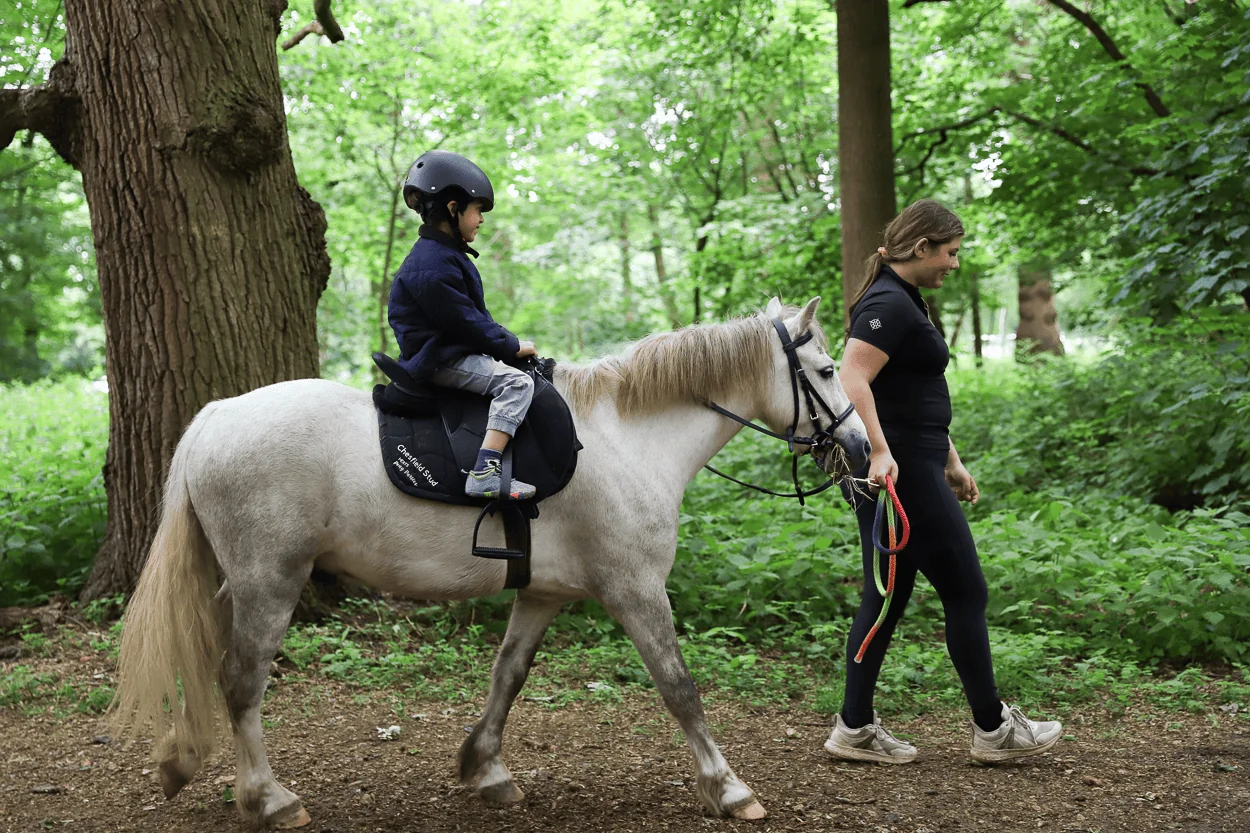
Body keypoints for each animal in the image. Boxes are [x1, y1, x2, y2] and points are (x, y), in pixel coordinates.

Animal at [111, 296, 870, 828]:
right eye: (828, 371)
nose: (863, 449)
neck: (626, 439)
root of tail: (217, 416)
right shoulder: (635, 589)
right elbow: (680, 687)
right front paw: (729, 788)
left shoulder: (542, 594)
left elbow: (508, 675)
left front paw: (484, 769)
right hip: (271, 582)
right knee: (241, 682)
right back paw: (268, 798)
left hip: (236, 583)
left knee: (206, 658)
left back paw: (182, 759)